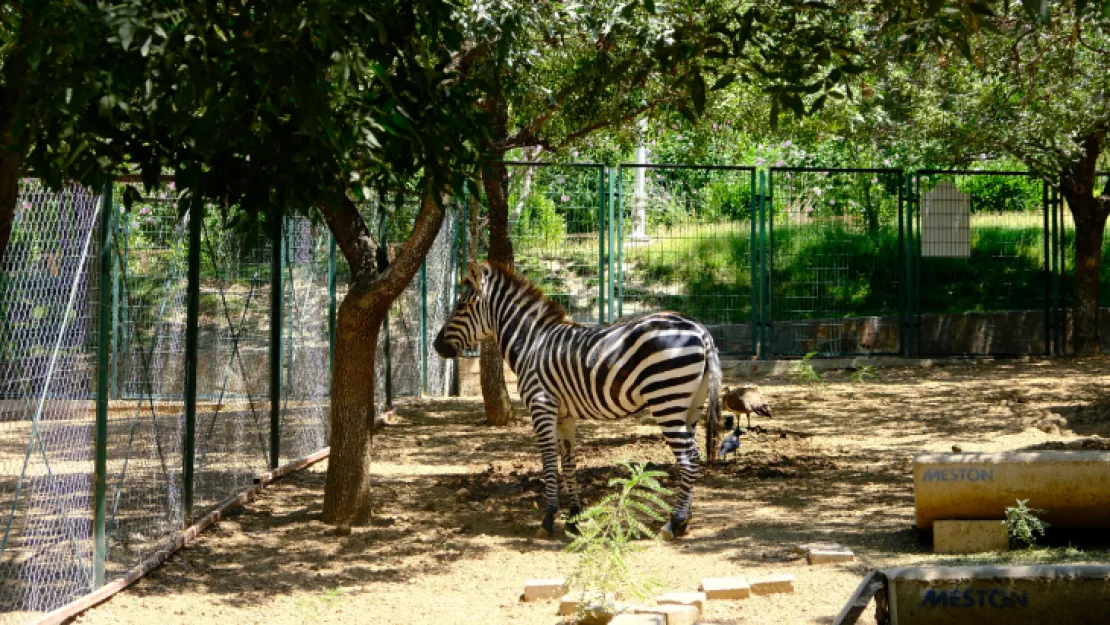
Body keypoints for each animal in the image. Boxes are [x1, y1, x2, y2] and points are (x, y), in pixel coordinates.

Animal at [428, 261, 723, 539]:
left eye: (461, 306)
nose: (436, 346)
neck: (530, 343)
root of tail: (700, 329)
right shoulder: (563, 414)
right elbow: (568, 462)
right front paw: (574, 517)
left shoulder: (541, 405)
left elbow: (548, 460)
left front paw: (548, 518)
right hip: (691, 405)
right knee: (693, 456)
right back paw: (685, 520)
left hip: (666, 400)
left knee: (687, 459)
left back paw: (674, 522)